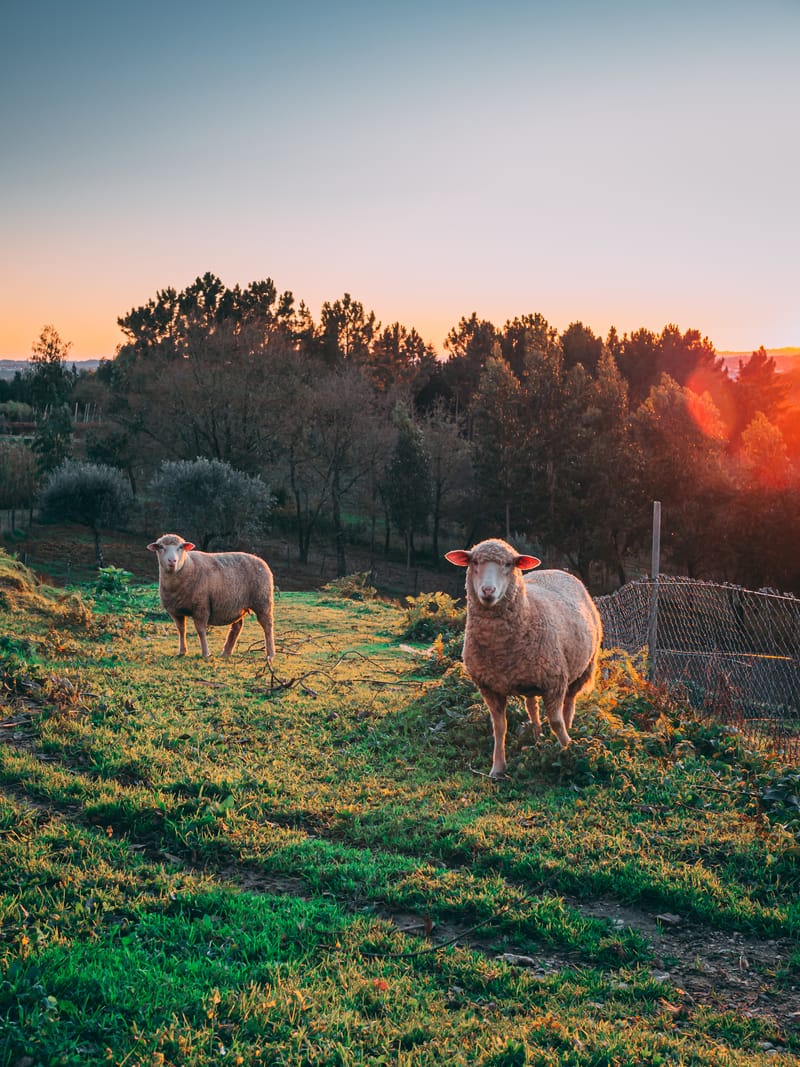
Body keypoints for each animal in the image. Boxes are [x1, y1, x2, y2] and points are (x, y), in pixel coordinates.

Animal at [147, 533, 275, 661]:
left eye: (180, 547)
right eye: (161, 547)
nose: (172, 561)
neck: (188, 566)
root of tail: (259, 559)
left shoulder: (201, 606)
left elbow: (201, 630)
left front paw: (206, 653)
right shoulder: (175, 611)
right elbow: (181, 630)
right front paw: (182, 652)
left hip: (262, 600)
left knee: (267, 625)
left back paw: (270, 654)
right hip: (237, 604)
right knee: (237, 626)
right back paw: (226, 652)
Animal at [445, 538, 602, 777]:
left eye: (509, 564)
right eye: (474, 562)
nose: (488, 590)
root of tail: (559, 570)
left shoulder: (555, 681)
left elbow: (556, 722)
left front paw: (569, 748)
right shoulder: (488, 687)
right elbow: (499, 727)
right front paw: (497, 768)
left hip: (584, 668)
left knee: (569, 703)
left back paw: (568, 729)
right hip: (530, 678)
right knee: (531, 706)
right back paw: (537, 737)